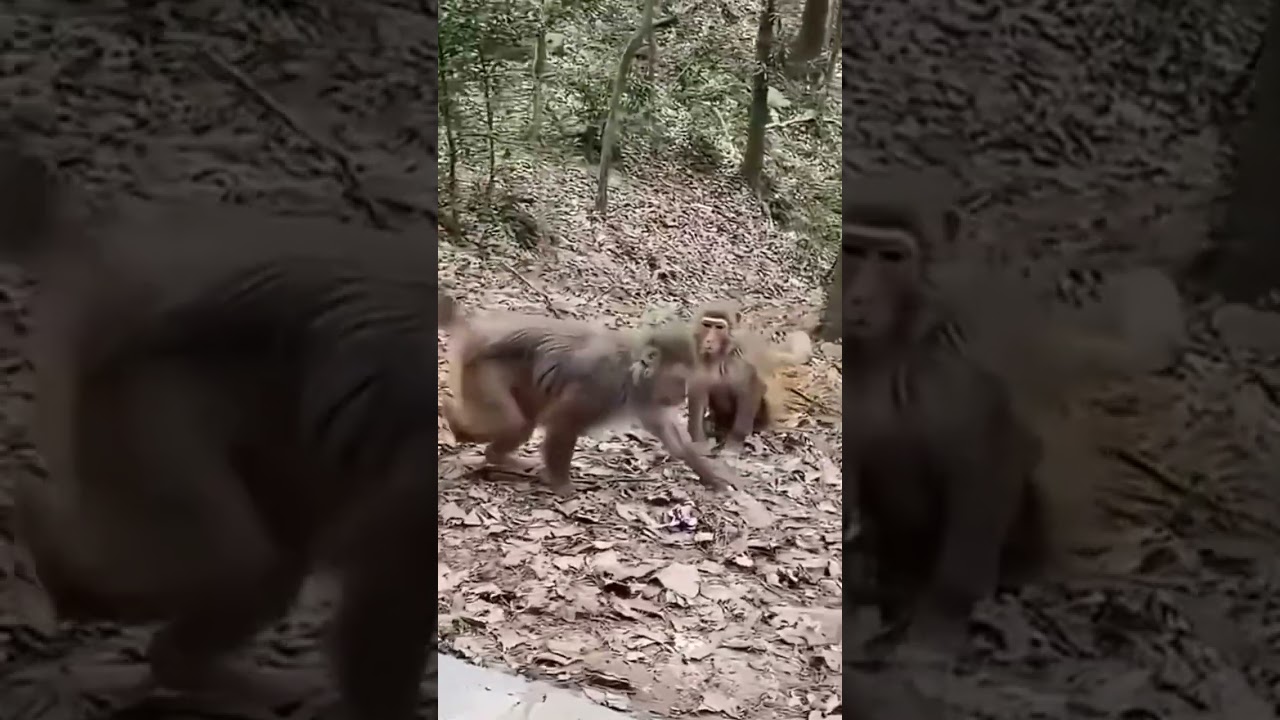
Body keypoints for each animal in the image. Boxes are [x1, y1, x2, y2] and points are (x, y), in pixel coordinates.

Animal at [438, 296, 738, 497]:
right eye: (679, 380)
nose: (681, 396)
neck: (632, 373)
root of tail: (475, 328)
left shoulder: (647, 399)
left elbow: (674, 442)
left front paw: (711, 477)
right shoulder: (602, 384)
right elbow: (563, 422)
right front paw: (563, 486)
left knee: (521, 421)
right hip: (483, 370)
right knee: (514, 422)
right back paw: (458, 423)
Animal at [686, 301, 812, 451]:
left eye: (719, 327)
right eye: (707, 325)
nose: (709, 340)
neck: (723, 352)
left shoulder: (742, 357)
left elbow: (749, 391)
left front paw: (733, 443)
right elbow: (698, 391)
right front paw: (698, 441)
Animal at [841, 172, 1051, 659]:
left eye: (892, 257)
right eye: (854, 250)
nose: (858, 298)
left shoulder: (958, 365)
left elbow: (987, 461)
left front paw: (940, 622)